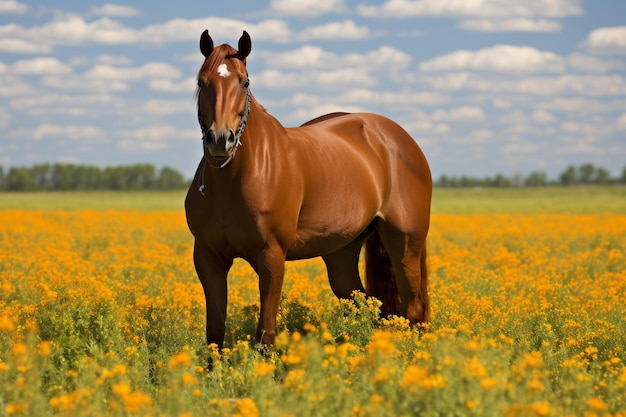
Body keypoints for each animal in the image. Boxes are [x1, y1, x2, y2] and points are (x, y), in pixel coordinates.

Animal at [183, 30, 432, 348]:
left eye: (245, 82)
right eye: (201, 82)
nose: (219, 139)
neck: (234, 179)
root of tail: (399, 138)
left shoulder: (271, 256)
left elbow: (265, 334)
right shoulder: (208, 259)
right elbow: (215, 333)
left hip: (405, 244)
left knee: (413, 309)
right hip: (341, 255)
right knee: (370, 308)